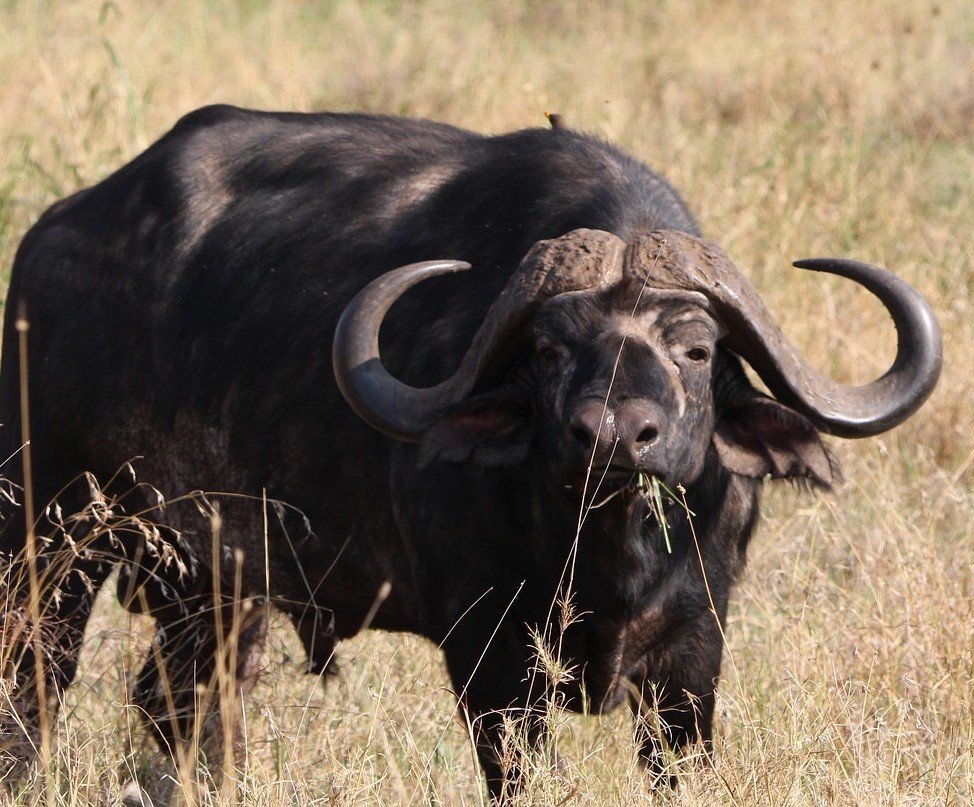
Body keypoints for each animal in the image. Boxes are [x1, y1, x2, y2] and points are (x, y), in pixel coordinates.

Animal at [0, 105, 941, 801]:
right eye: (551, 348)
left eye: (697, 349)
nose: (612, 435)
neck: (602, 554)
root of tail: (53, 240)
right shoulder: (488, 654)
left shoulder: (692, 654)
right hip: (50, 531)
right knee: (35, 678)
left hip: (212, 588)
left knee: (180, 705)